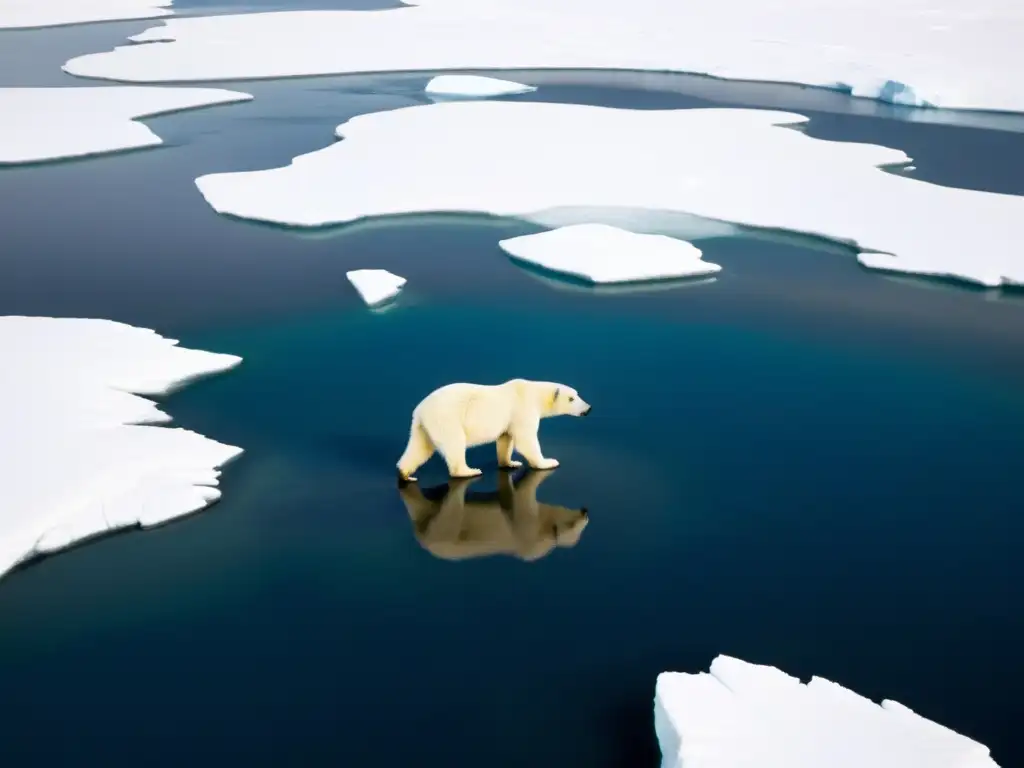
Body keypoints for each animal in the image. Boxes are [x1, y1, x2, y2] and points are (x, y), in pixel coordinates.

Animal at [397, 378, 598, 481]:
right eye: (571, 398)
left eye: (577, 394)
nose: (588, 408)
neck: (532, 392)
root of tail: (419, 410)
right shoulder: (523, 409)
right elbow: (526, 441)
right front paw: (548, 462)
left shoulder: (509, 420)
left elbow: (505, 440)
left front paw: (511, 463)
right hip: (446, 419)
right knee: (454, 444)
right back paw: (469, 471)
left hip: (423, 426)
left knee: (420, 448)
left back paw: (405, 474)